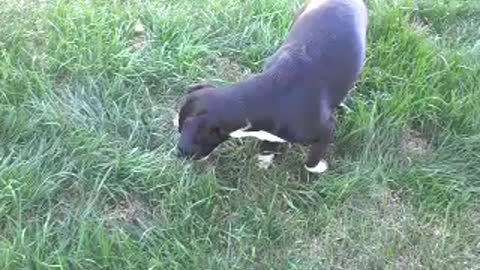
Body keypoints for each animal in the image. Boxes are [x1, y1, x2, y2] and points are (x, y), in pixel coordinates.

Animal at [176, 0, 368, 173]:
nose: (178, 153)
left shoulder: (326, 129)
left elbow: (312, 159)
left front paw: (318, 168)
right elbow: (268, 144)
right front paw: (264, 162)